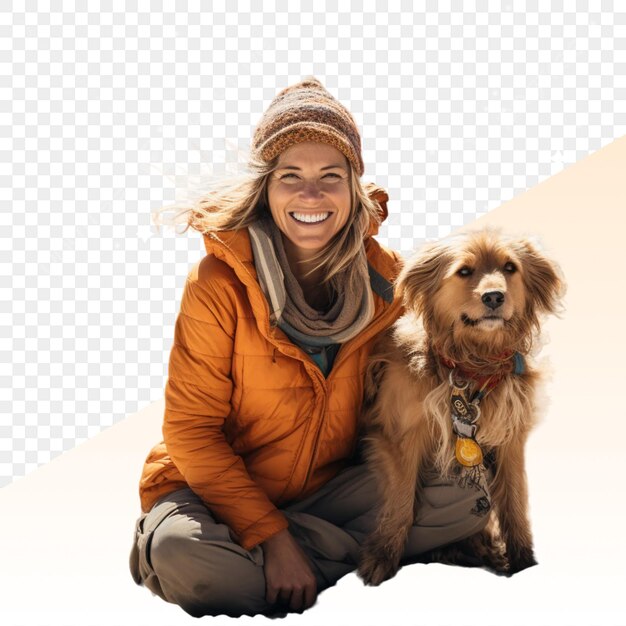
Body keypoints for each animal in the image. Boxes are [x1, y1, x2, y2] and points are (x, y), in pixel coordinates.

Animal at [354, 228, 564, 584]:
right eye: (464, 271)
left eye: (510, 268)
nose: (494, 297)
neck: (472, 365)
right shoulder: (399, 437)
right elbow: (400, 501)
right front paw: (382, 556)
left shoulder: (510, 440)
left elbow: (514, 502)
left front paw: (522, 561)